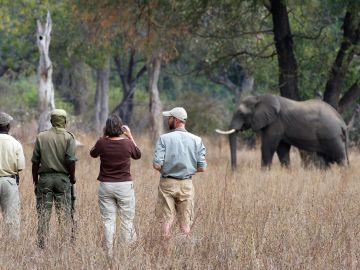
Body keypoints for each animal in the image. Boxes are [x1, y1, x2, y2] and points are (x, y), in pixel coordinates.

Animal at [217, 94, 348, 168]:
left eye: (240, 113)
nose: (234, 171)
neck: (259, 98)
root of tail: (342, 122)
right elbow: (282, 149)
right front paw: (287, 172)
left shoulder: (275, 122)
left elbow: (268, 147)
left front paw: (264, 174)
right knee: (327, 160)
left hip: (332, 135)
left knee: (340, 157)